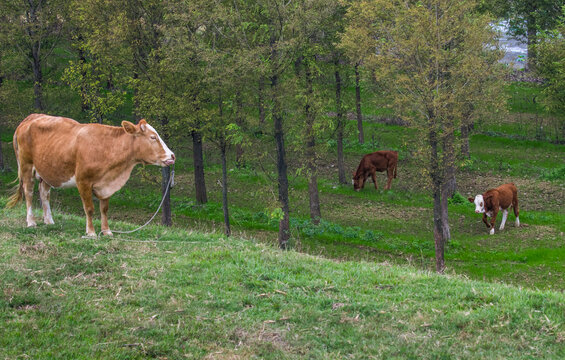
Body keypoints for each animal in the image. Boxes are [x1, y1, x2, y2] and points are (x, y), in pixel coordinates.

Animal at [6, 112, 174, 236]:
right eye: (153, 137)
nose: (172, 156)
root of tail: (31, 117)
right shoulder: (83, 181)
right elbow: (89, 208)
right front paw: (91, 232)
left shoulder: (106, 184)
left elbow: (104, 209)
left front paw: (106, 231)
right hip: (26, 166)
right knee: (28, 192)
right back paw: (31, 222)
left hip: (48, 169)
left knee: (44, 193)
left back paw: (49, 221)